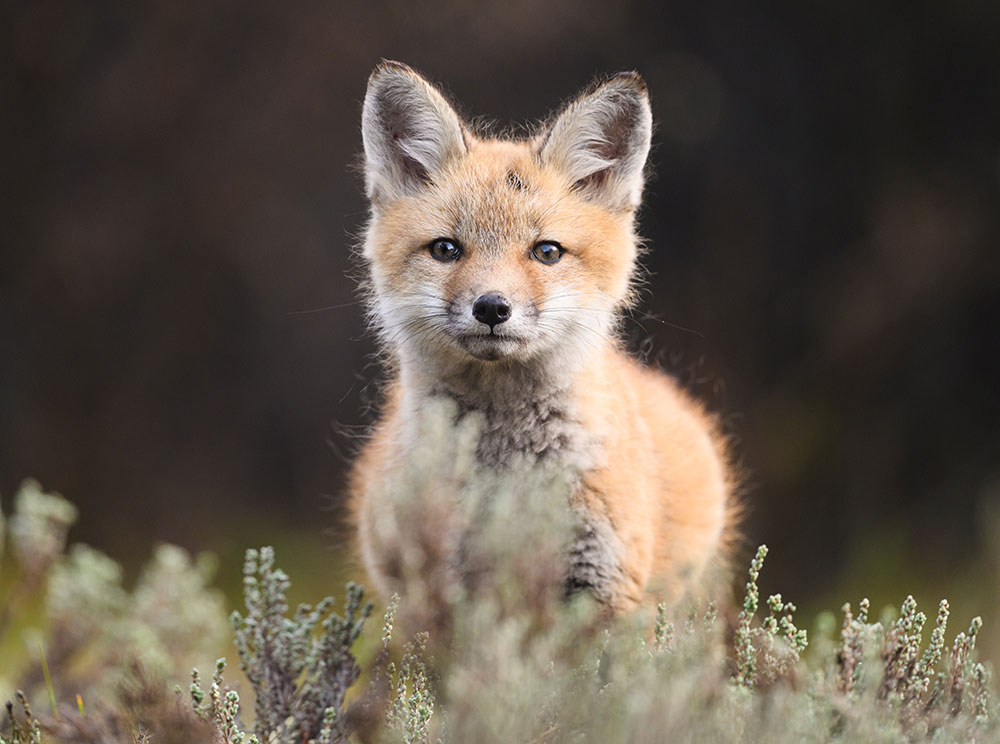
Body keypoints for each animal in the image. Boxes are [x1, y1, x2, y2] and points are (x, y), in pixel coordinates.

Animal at [348, 59, 740, 616]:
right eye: (445, 249)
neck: (507, 482)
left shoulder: (604, 588)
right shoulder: (435, 593)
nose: (492, 307)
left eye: (547, 252)